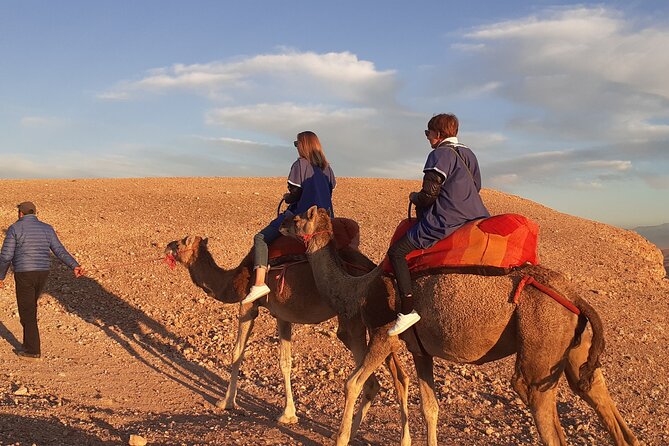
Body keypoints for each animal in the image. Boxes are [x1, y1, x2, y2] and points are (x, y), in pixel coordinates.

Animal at [164, 231, 411, 439]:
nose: (165, 245)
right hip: (373, 320)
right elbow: (285, 362)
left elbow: (237, 353)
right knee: (397, 375)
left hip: (353, 319)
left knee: (372, 372)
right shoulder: (282, 314)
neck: (233, 280)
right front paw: (289, 414)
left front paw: (226, 402)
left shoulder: (248, 304)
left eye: (180, 242)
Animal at [280, 206, 639, 446]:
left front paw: (341, 438)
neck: (358, 287)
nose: (280, 225)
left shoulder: (385, 334)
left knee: (534, 396)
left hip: (542, 340)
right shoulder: (420, 349)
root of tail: (574, 296)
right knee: (596, 393)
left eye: (296, 219)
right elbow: (430, 408)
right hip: (573, 345)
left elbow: (352, 383)